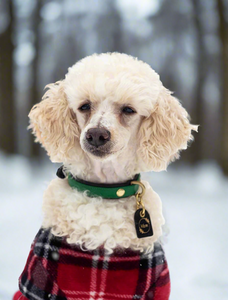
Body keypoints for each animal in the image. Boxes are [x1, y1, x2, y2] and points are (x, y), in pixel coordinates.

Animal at [14, 53, 197, 300]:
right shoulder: (38, 284)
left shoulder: (156, 287)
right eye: (84, 106)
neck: (106, 191)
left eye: (128, 110)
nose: (96, 135)